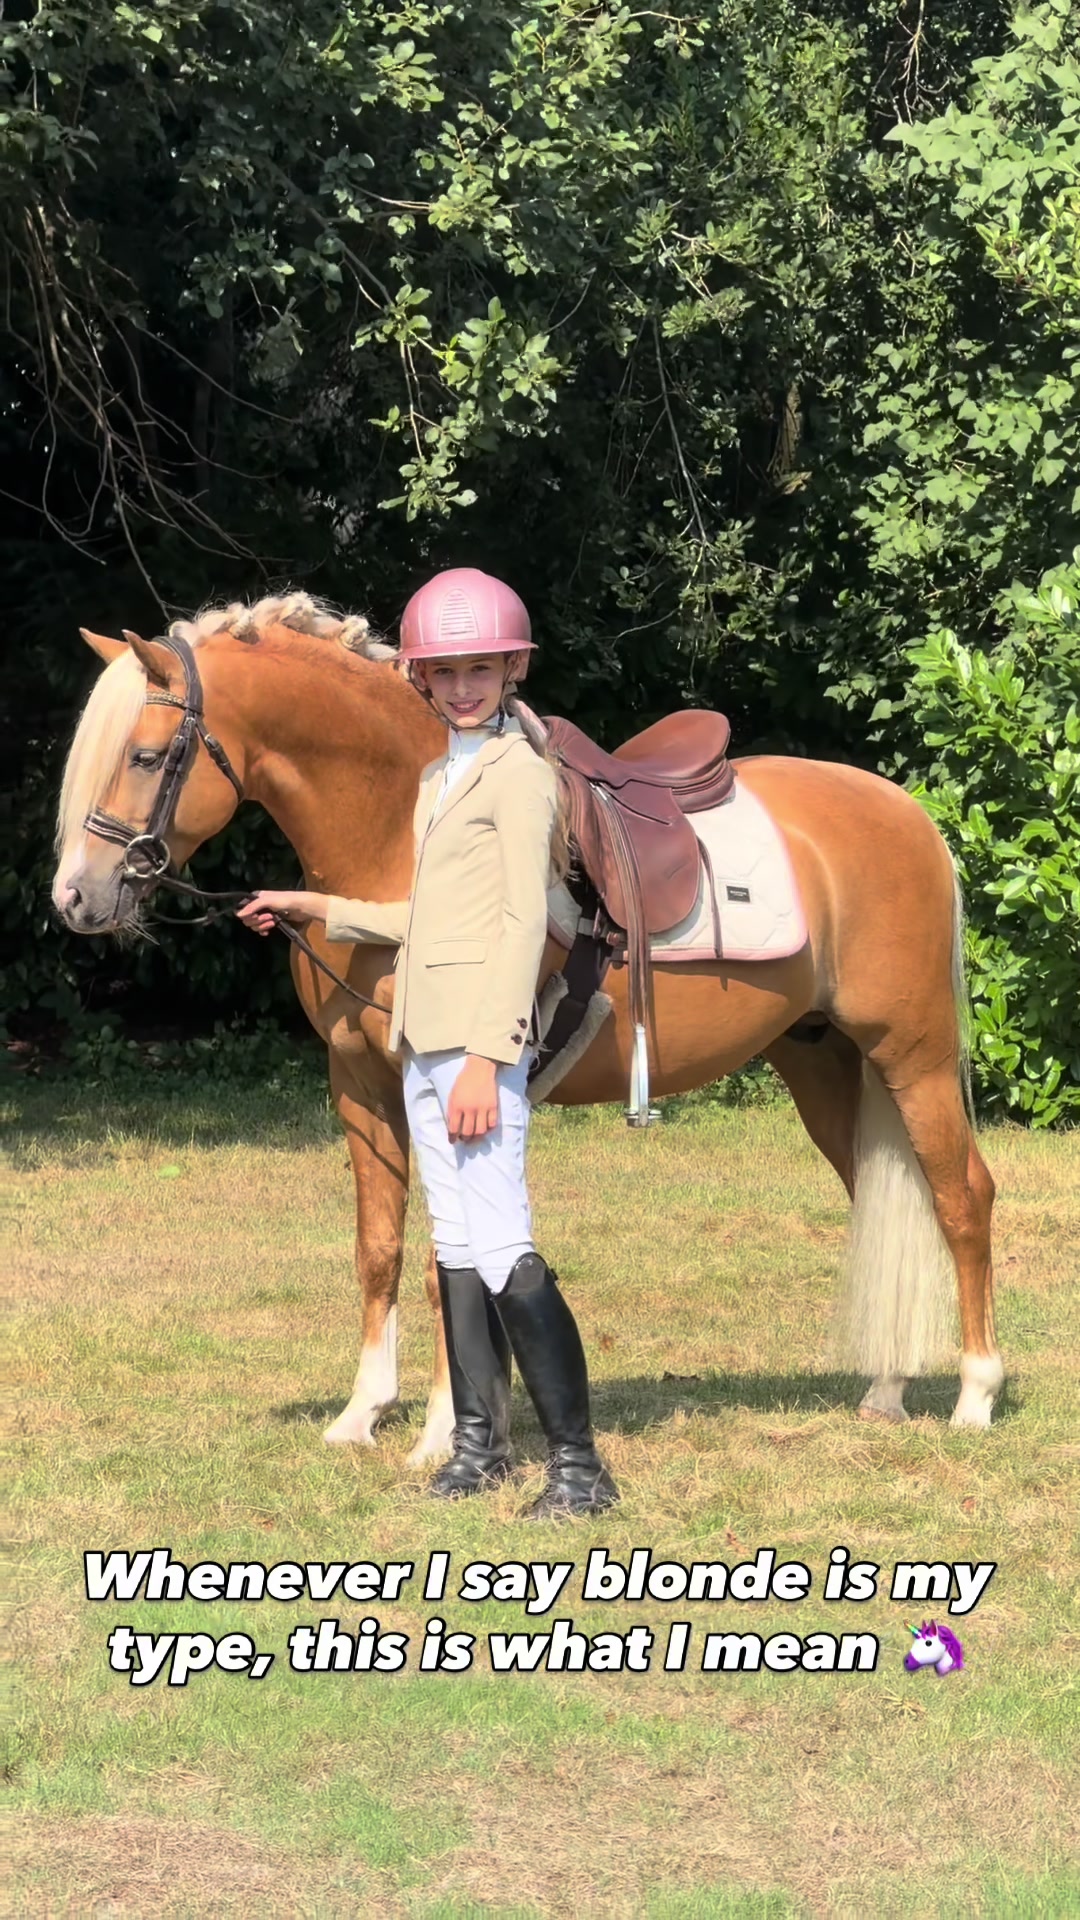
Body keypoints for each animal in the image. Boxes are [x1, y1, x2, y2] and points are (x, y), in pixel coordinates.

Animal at [51, 595, 1003, 1458]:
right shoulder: (358, 1087)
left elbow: (448, 1261)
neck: (399, 836)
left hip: (912, 1056)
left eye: (145, 755)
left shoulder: (435, 1085)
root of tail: (908, 815)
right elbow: (379, 1248)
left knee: (961, 1198)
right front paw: (363, 1414)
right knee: (883, 1196)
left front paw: (444, 1432)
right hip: (822, 1063)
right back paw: (885, 1391)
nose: (76, 899)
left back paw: (975, 1396)